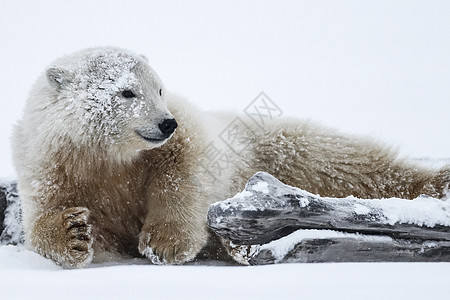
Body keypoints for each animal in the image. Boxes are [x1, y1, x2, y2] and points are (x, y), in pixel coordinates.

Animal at [12, 47, 448, 270]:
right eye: (126, 92)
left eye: (159, 89)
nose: (165, 122)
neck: (107, 156)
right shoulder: (49, 163)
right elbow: (44, 218)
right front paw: (74, 234)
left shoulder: (186, 134)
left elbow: (186, 171)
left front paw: (165, 243)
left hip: (273, 144)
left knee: (340, 159)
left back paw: (432, 183)